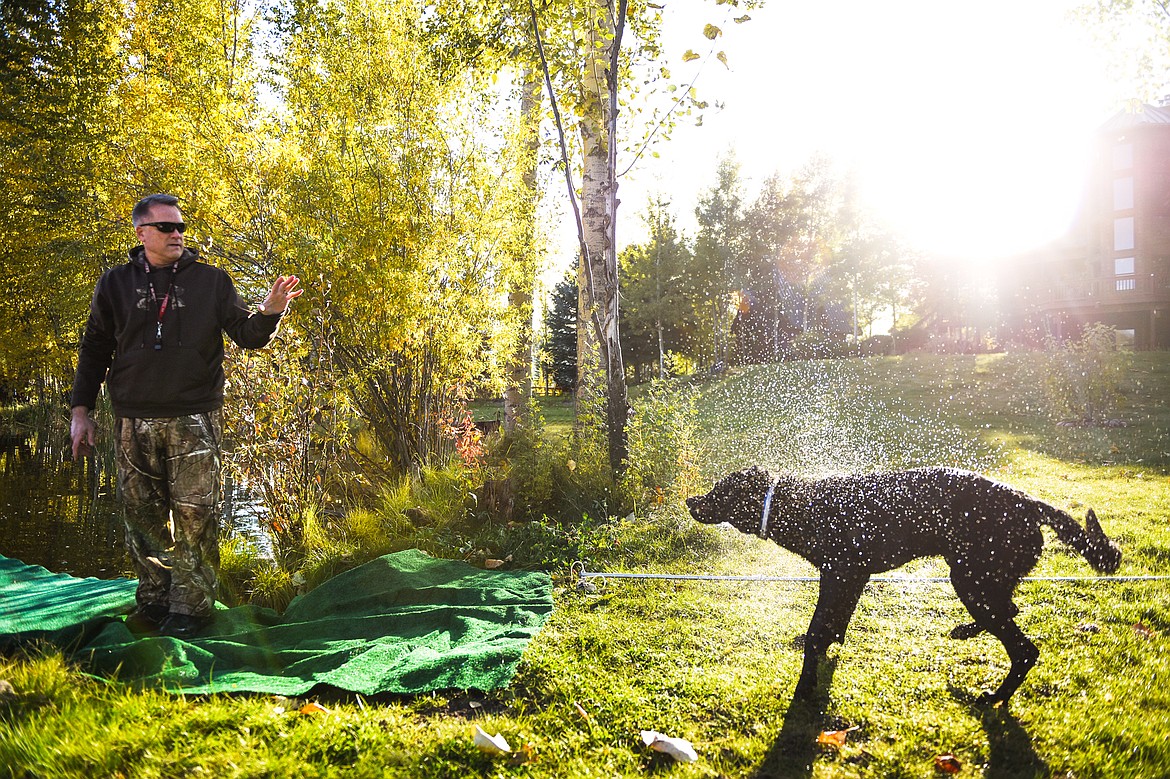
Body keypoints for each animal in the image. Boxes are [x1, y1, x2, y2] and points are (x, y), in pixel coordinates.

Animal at [683, 463, 1123, 701]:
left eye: (718, 490)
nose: (689, 501)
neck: (801, 505)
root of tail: (1027, 501)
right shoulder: (848, 577)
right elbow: (833, 626)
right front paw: (829, 650)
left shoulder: (842, 573)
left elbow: (816, 631)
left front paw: (806, 686)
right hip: (986, 579)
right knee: (1010, 611)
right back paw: (965, 632)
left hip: (971, 580)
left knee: (1024, 649)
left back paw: (993, 698)